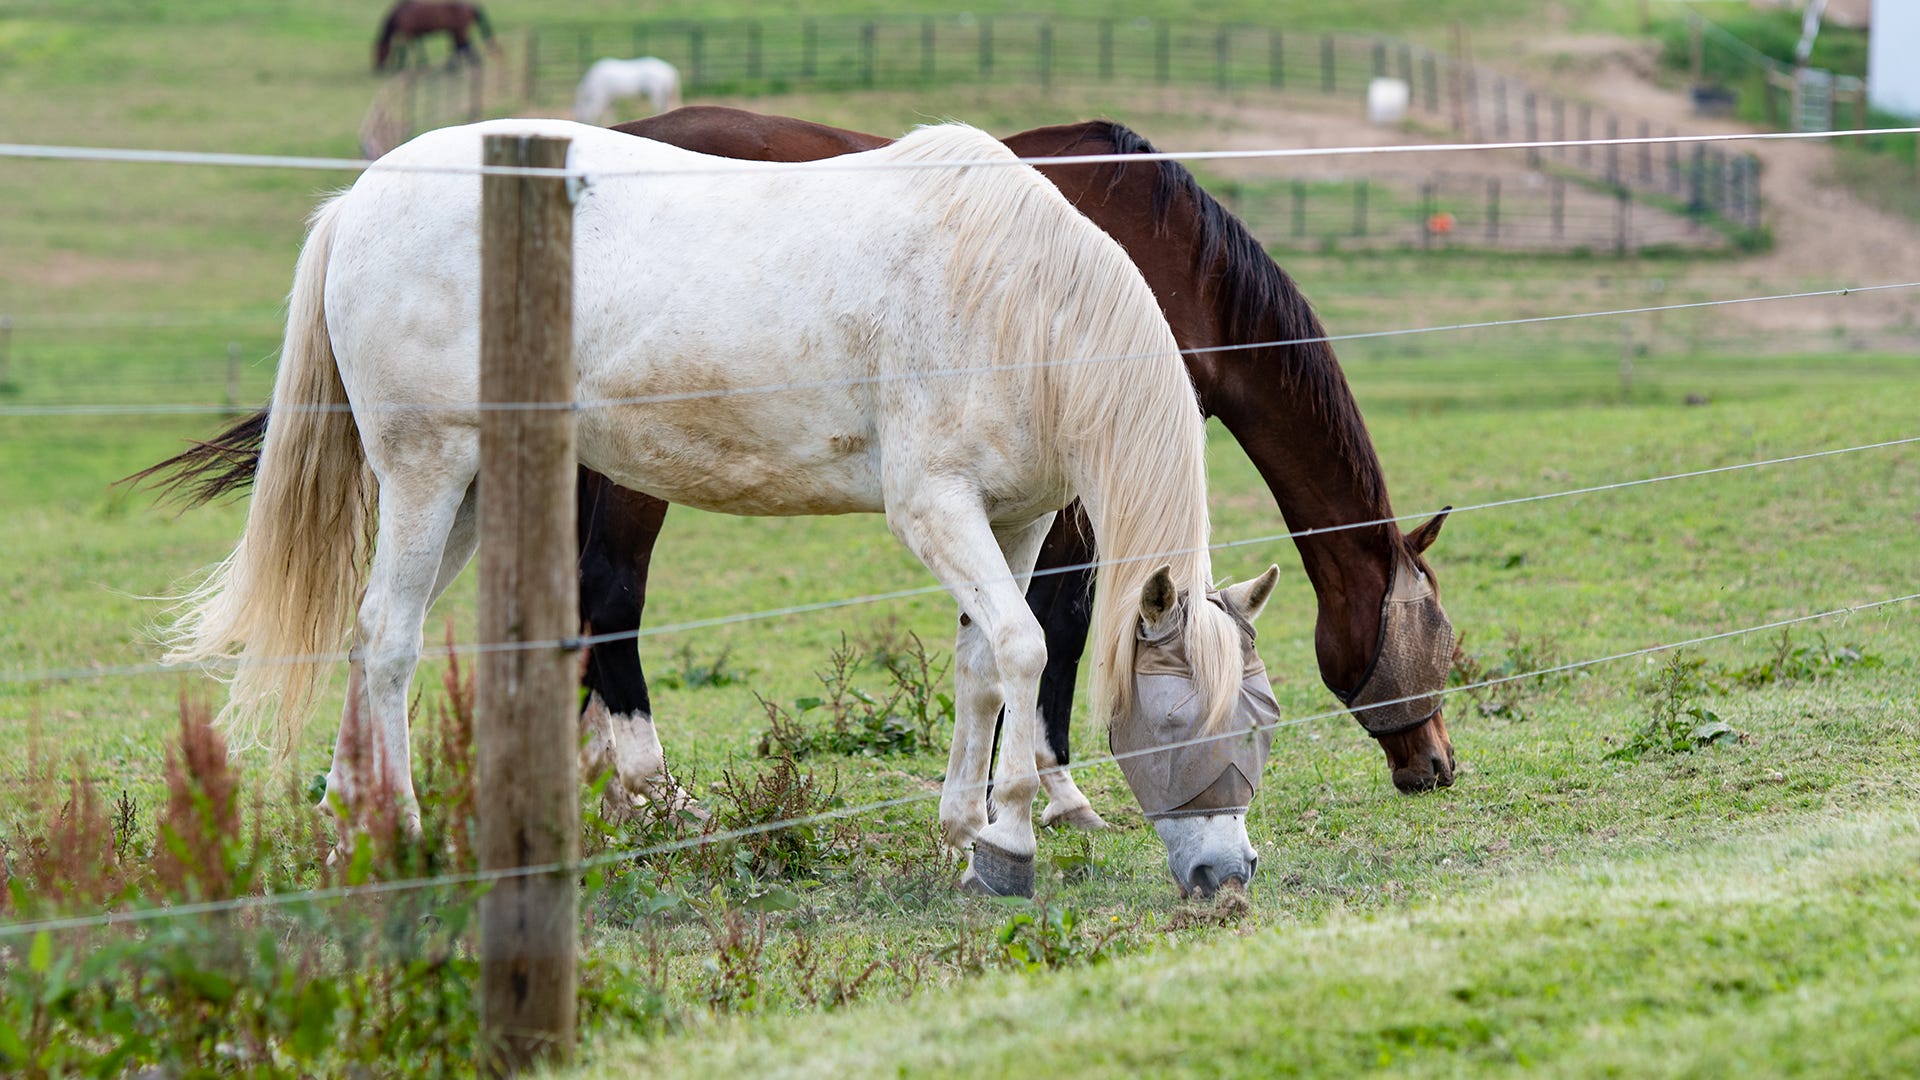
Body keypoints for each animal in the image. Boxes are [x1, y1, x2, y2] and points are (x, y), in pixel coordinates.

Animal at [135, 107, 1451, 822]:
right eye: (1432, 644)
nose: (1436, 764)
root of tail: (358, 202)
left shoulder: (1020, 502)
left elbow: (994, 652)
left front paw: (989, 810)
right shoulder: (1041, 505)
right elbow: (1063, 633)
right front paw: (1056, 799)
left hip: (479, 487)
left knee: (412, 635)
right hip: (449, 473)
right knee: (452, 627)